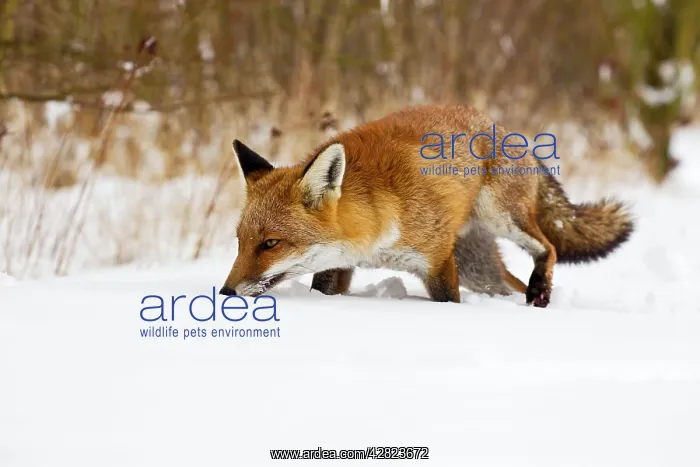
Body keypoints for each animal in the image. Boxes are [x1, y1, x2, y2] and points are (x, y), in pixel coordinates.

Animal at [220, 104, 633, 307]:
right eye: (240, 242)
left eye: (270, 244)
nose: (225, 294)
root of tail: (505, 130)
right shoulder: (337, 267)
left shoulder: (436, 263)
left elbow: (448, 302)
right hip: (479, 270)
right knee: (511, 281)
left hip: (501, 221)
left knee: (548, 247)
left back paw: (541, 290)